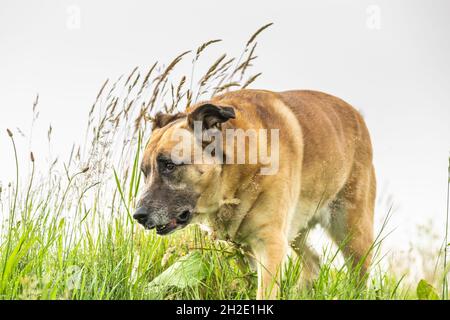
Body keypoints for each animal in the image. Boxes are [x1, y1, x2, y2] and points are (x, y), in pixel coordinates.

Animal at [134, 89, 376, 298]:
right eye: (145, 172)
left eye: (169, 165)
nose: (138, 216)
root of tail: (358, 116)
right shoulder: (243, 247)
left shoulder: (270, 243)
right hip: (295, 229)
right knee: (314, 261)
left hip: (353, 232)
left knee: (358, 277)